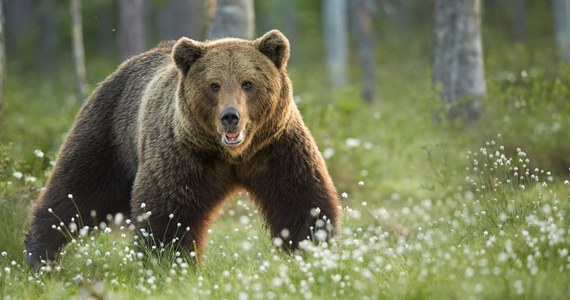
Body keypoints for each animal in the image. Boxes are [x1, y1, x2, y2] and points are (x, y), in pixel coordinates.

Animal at [24, 29, 340, 268]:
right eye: (214, 85)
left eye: (248, 83)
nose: (230, 116)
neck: (233, 155)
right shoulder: (183, 154)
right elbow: (169, 211)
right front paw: (167, 262)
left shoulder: (276, 148)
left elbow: (300, 199)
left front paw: (312, 250)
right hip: (109, 133)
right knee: (77, 190)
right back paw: (40, 254)